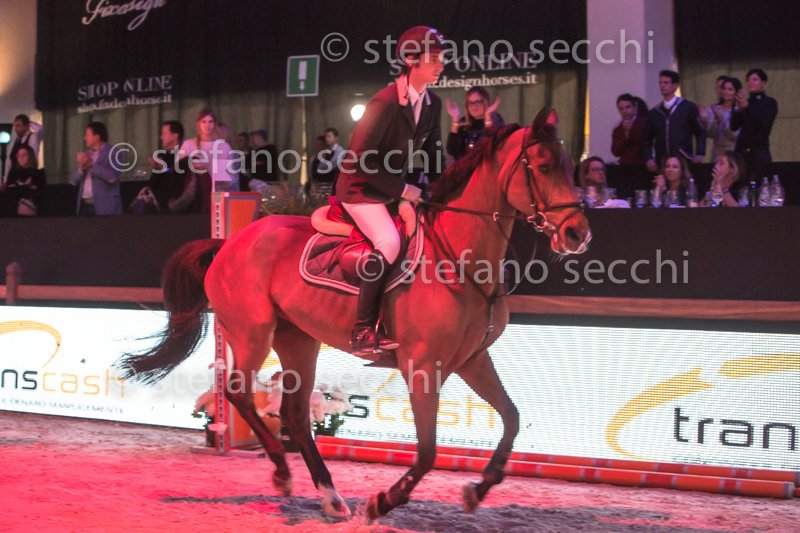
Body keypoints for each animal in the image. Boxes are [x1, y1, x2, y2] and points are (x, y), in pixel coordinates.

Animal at [118, 108, 591, 521]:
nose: (578, 234)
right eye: (543, 166)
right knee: (237, 392)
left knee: (294, 415)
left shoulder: (473, 359)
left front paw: (477, 489)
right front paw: (384, 502)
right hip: (254, 332)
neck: (459, 258)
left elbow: (511, 419)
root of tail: (227, 243)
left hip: (297, 338)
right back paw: (284, 473)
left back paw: (329, 496)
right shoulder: (422, 366)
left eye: (571, 166)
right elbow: (427, 451)